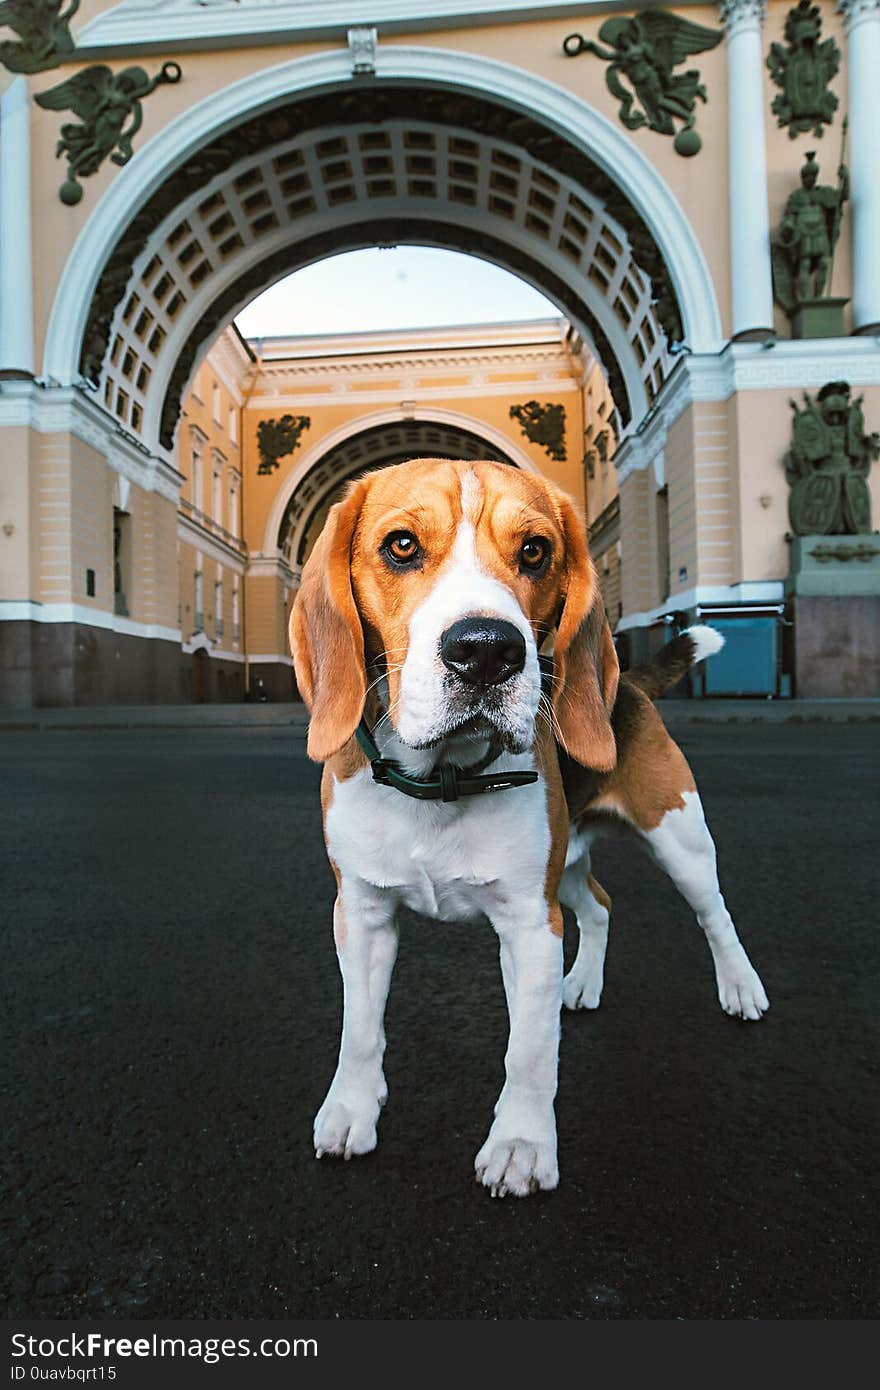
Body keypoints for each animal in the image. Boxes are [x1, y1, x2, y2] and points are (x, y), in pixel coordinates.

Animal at [290, 455, 767, 1195]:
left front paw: (519, 1145)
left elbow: (530, 1052)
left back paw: (740, 986)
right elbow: (360, 1028)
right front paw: (350, 1111)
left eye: (535, 551)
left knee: (714, 914)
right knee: (599, 905)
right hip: (566, 863)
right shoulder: (361, 913)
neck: (443, 781)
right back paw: (583, 983)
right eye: (402, 545)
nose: (486, 651)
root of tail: (625, 685)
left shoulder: (529, 925)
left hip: (680, 838)